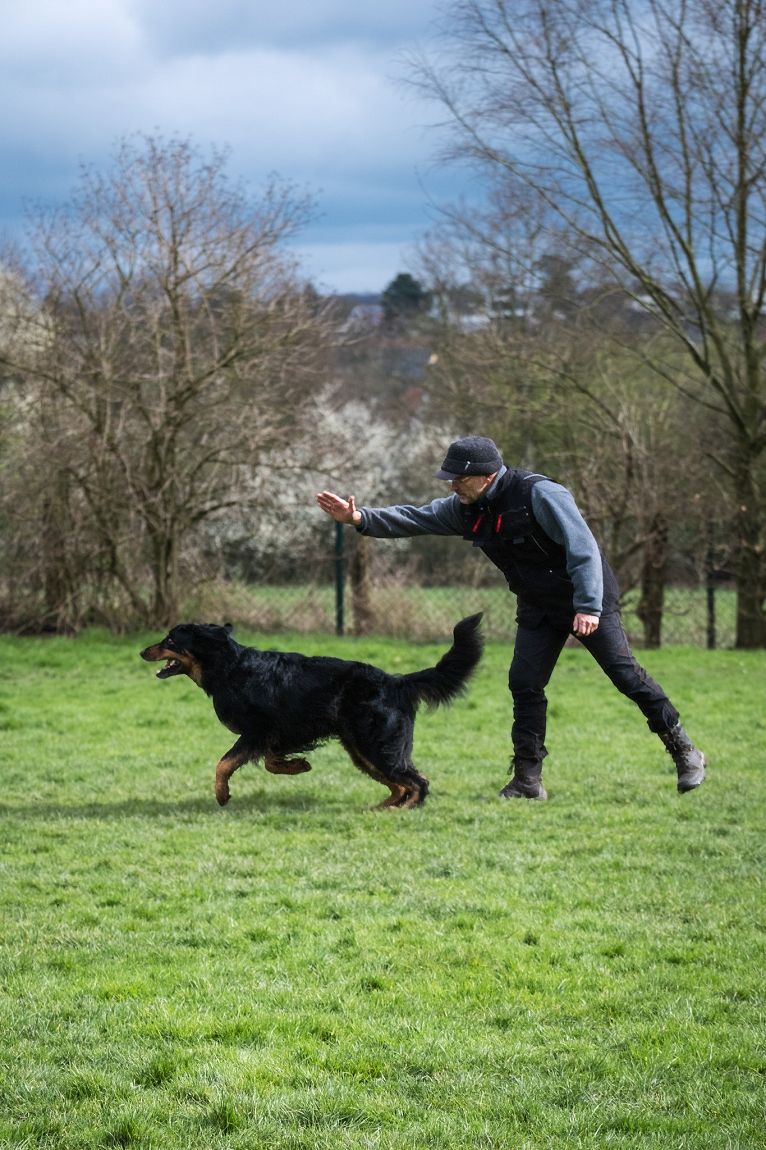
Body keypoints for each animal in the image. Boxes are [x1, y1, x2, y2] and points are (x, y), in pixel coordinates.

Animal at [140, 621, 480, 809]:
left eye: (170, 641)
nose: (143, 651)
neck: (229, 668)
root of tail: (397, 681)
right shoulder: (275, 734)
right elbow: (270, 760)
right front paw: (297, 765)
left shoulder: (257, 731)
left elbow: (224, 763)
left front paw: (222, 794)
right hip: (362, 750)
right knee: (401, 784)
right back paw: (381, 808)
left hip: (376, 745)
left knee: (418, 782)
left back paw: (401, 810)